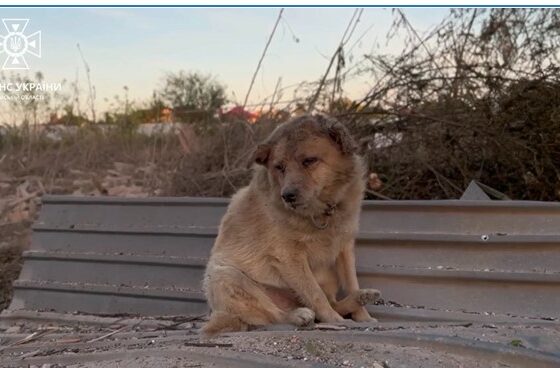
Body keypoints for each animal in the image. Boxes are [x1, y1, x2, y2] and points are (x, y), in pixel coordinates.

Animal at [201, 113, 380, 336]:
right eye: (279, 167)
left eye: (309, 161)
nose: (287, 196)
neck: (321, 213)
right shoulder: (289, 256)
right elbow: (314, 294)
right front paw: (335, 320)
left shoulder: (344, 247)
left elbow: (351, 282)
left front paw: (363, 317)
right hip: (225, 276)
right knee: (273, 314)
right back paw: (298, 316)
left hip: (327, 275)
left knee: (331, 301)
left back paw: (363, 297)